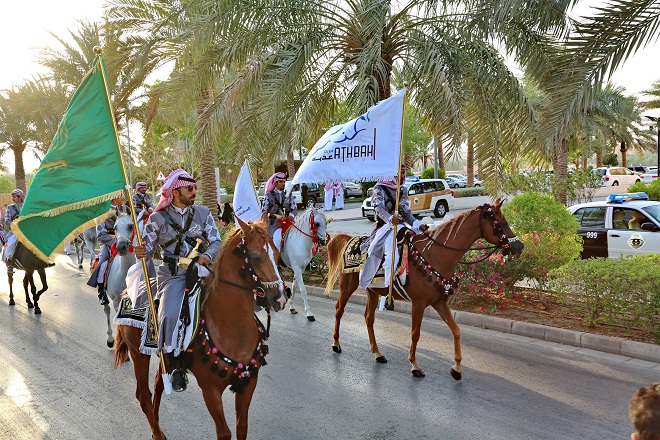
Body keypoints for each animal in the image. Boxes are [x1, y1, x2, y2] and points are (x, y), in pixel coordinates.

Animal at [113, 216, 286, 440]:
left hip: (163, 358)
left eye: (277, 253)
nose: (280, 298)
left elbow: (242, 428)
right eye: (256, 257)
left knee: (159, 385)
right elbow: (225, 433)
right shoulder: (210, 389)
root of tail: (128, 291)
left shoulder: (247, 385)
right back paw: (157, 433)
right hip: (138, 354)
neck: (229, 327)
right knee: (143, 395)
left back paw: (157, 426)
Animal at [322, 202, 524, 378]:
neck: (434, 255)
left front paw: (457, 368)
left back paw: (377, 353)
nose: (520, 246)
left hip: (372, 291)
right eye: (503, 223)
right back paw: (336, 343)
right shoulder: (418, 304)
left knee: (368, 318)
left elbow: (456, 330)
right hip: (347, 286)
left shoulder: (439, 302)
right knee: (339, 310)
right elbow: (415, 333)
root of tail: (349, 239)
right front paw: (414, 365)